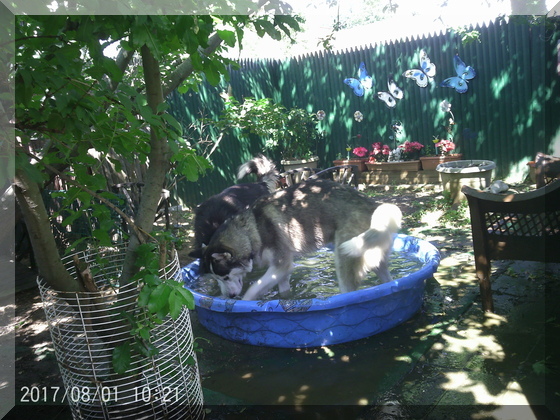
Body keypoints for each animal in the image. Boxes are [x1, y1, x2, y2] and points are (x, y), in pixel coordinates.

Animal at [192, 179, 402, 300]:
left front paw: (243, 305)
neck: (251, 231)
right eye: (216, 278)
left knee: (349, 292)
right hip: (374, 258)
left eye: (226, 277)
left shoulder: (280, 265)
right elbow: (284, 291)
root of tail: (372, 204)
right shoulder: (280, 271)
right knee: (387, 279)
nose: (227, 296)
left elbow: (253, 291)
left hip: (344, 257)